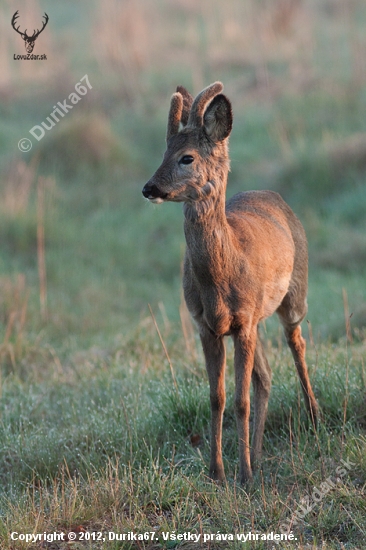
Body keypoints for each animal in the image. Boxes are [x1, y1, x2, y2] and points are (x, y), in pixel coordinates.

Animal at [142, 81, 318, 484]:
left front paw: (243, 475)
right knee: (265, 376)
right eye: (163, 151)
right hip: (258, 319)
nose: (149, 188)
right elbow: (218, 398)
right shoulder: (207, 325)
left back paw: (313, 419)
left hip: (294, 295)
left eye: (187, 158)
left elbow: (240, 400)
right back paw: (257, 453)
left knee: (297, 343)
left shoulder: (244, 322)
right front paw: (218, 471)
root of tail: (272, 195)